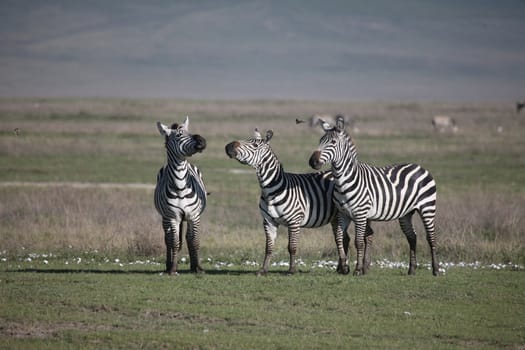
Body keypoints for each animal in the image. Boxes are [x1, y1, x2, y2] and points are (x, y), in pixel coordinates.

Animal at [154, 116, 207, 274]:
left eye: (189, 131)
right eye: (178, 135)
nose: (202, 140)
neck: (181, 186)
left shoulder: (194, 216)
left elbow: (194, 241)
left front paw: (198, 268)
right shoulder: (172, 217)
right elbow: (174, 242)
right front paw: (173, 269)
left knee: (188, 238)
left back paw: (193, 266)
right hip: (165, 218)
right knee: (168, 239)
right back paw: (168, 265)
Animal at [222, 129, 360, 276]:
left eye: (254, 145)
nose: (228, 146)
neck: (270, 190)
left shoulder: (294, 221)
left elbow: (292, 247)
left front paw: (292, 270)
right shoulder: (268, 221)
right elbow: (268, 247)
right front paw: (263, 270)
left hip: (341, 214)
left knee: (343, 238)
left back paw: (349, 268)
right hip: (335, 217)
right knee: (344, 239)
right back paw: (341, 268)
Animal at [308, 117, 438, 276]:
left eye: (332, 142)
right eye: (320, 140)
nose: (312, 162)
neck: (343, 181)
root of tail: (420, 167)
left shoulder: (360, 214)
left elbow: (358, 242)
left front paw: (358, 269)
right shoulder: (343, 214)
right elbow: (339, 237)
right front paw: (344, 267)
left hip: (427, 207)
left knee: (431, 237)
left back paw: (436, 270)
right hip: (406, 213)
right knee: (412, 237)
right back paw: (412, 269)